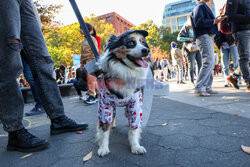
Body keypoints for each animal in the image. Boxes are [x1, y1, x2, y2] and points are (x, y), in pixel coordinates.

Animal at [95, 29, 150, 157]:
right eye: (130, 43)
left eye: (143, 43)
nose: (146, 50)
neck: (127, 71)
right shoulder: (105, 105)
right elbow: (104, 129)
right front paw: (103, 148)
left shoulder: (135, 104)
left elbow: (134, 129)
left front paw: (135, 147)